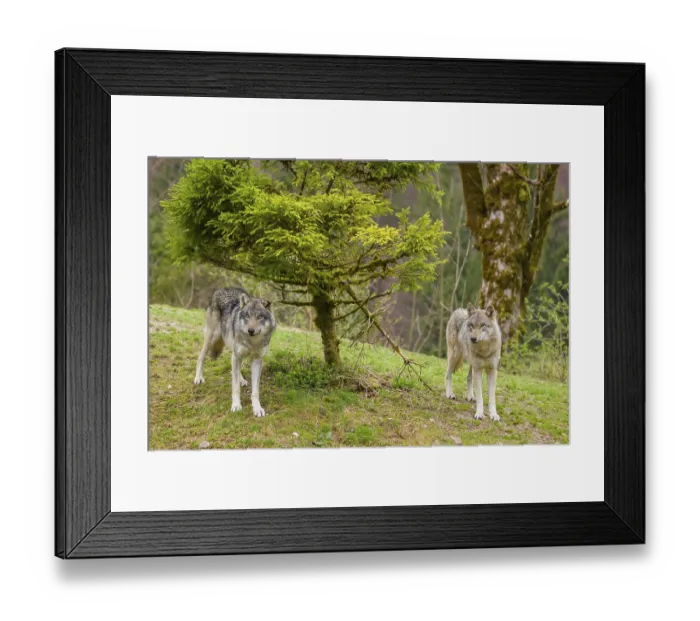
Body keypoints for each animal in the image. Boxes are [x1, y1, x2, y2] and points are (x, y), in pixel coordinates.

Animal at [194, 287, 276, 418]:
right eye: (247, 316)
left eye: (259, 317)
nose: (250, 330)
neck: (252, 341)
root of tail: (222, 289)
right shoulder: (237, 355)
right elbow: (235, 386)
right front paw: (236, 406)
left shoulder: (257, 360)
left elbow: (255, 391)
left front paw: (257, 408)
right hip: (212, 338)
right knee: (200, 356)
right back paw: (198, 378)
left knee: (235, 369)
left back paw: (242, 379)